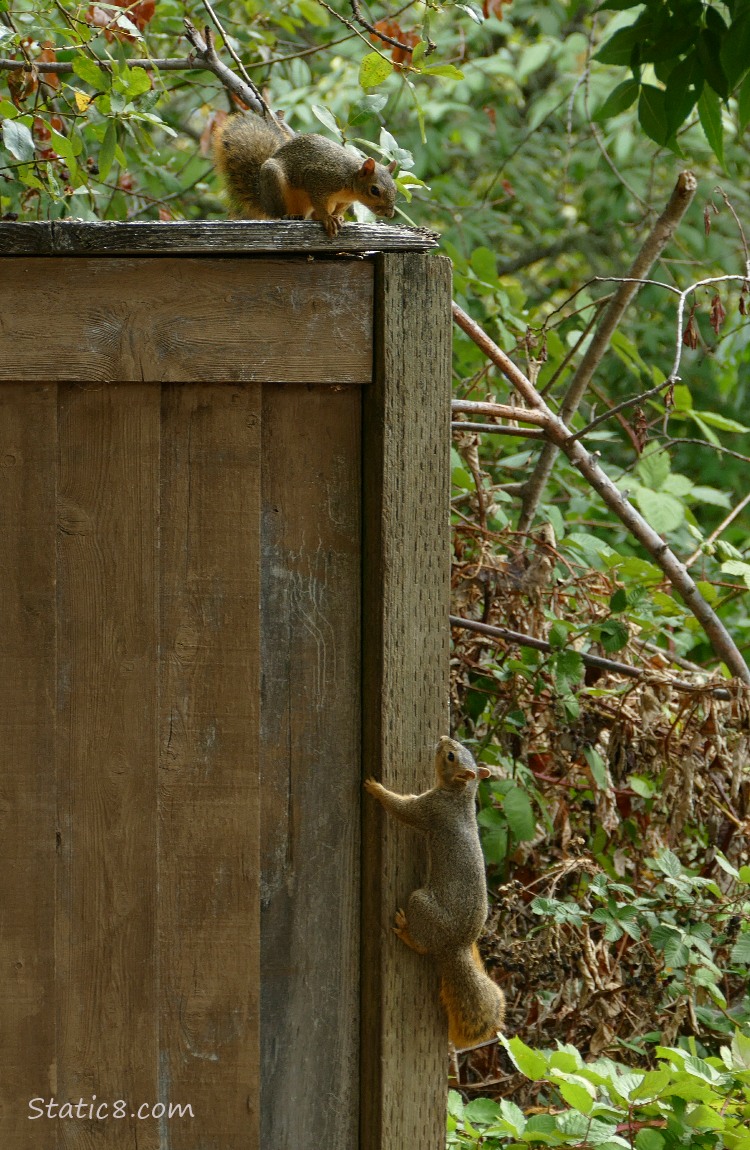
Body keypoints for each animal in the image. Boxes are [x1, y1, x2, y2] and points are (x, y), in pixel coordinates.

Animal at [213, 112, 398, 237]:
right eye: (374, 190)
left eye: (395, 189)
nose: (389, 214)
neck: (350, 180)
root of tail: (263, 200)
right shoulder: (319, 179)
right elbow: (320, 203)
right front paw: (328, 218)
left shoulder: (343, 200)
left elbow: (338, 210)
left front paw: (338, 217)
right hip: (274, 183)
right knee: (277, 213)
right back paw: (288, 215)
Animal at [365, 736, 505, 1050]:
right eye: (458, 749)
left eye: (451, 756)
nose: (442, 739)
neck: (460, 796)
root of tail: (454, 947)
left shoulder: (429, 809)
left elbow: (403, 809)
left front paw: (376, 788)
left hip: (421, 904)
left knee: (421, 945)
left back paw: (405, 930)